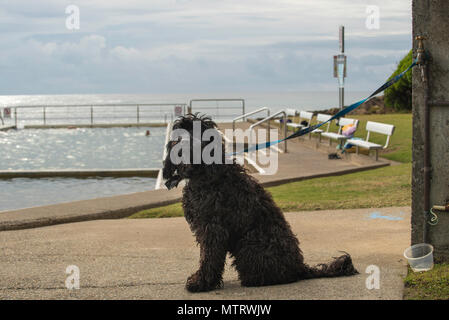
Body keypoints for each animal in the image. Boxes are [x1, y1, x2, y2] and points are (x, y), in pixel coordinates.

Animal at [162, 113, 356, 292]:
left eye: (197, 132)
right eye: (179, 132)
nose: (179, 145)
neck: (204, 174)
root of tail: (300, 267)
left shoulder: (213, 228)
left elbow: (209, 257)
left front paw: (201, 283)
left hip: (249, 243)